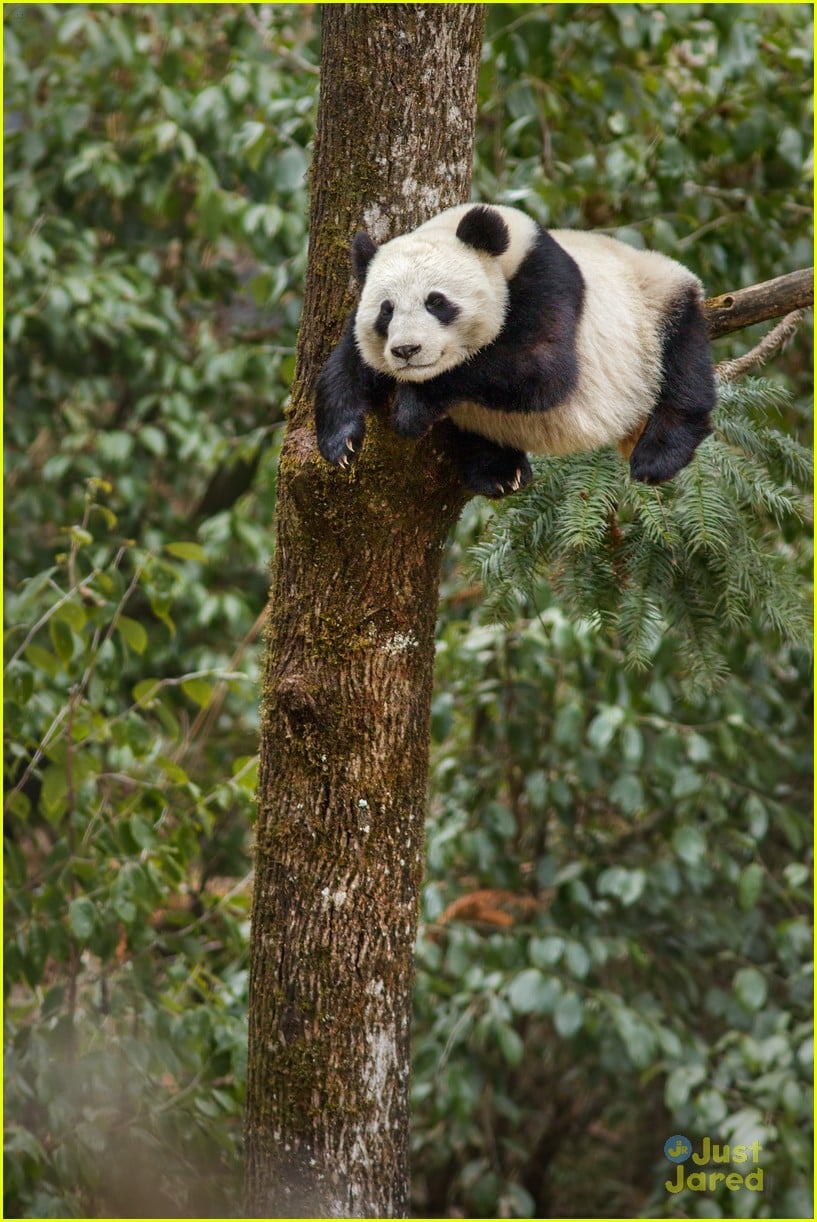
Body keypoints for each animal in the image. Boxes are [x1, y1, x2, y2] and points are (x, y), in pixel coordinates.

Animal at [314, 203, 716, 497]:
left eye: (436, 302)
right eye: (387, 310)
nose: (406, 350)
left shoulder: (546, 277)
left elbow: (543, 367)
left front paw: (412, 409)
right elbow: (346, 363)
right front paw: (340, 441)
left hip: (655, 303)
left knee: (684, 365)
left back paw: (658, 456)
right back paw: (497, 471)